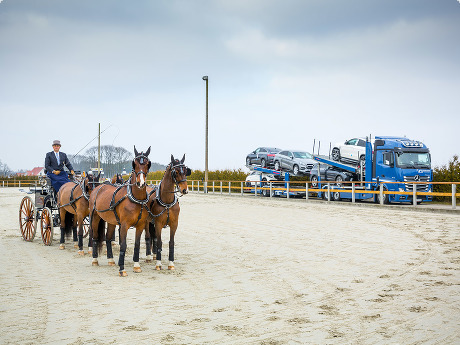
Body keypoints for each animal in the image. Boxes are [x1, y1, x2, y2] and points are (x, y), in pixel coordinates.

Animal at [90, 146, 153, 276]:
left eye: (148, 164)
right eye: (134, 164)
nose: (141, 183)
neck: (135, 198)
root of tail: (99, 187)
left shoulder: (140, 225)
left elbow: (137, 244)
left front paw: (136, 265)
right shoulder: (124, 225)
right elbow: (123, 245)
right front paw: (122, 269)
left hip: (111, 221)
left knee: (108, 237)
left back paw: (110, 259)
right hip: (95, 217)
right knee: (95, 236)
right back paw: (94, 260)